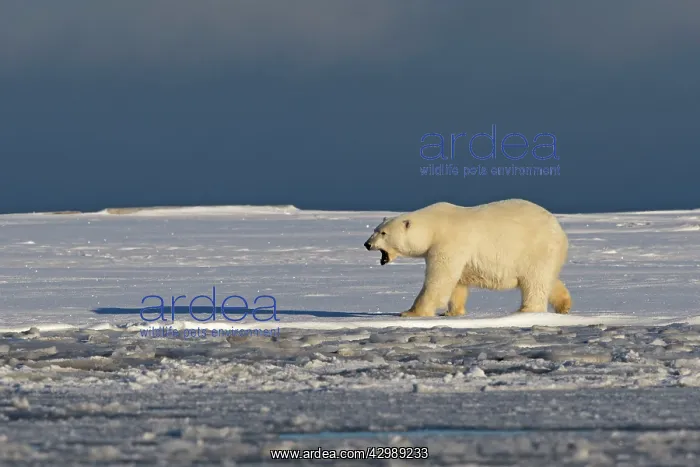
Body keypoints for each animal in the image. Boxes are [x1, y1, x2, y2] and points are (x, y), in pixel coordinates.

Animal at [363, 199, 571, 317]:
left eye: (383, 233)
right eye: (375, 229)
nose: (367, 244)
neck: (434, 226)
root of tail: (559, 230)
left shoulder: (449, 243)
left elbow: (439, 279)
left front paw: (411, 312)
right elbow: (457, 282)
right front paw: (452, 312)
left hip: (535, 249)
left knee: (534, 281)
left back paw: (525, 311)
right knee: (548, 279)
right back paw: (564, 305)